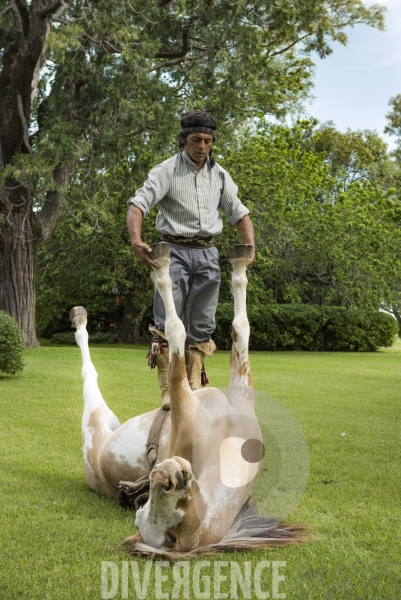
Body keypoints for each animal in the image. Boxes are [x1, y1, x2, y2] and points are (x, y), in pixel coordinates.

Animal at [69, 240, 306, 556]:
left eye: (172, 536)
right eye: (141, 514)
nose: (167, 476)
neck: (225, 443)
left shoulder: (185, 398)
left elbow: (180, 329)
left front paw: (163, 263)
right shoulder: (239, 390)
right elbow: (239, 328)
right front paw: (239, 263)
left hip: (94, 420)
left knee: (89, 375)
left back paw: (80, 319)